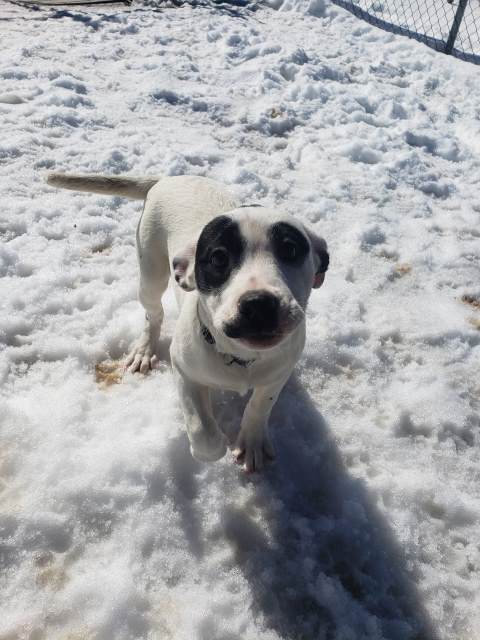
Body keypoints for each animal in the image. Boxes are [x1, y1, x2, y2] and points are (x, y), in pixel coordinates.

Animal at [46, 172, 330, 472]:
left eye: (290, 249)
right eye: (218, 258)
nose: (259, 304)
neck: (240, 357)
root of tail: (168, 178)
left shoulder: (278, 373)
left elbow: (260, 405)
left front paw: (252, 441)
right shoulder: (183, 369)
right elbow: (201, 426)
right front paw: (211, 447)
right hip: (150, 272)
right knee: (153, 314)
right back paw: (144, 349)